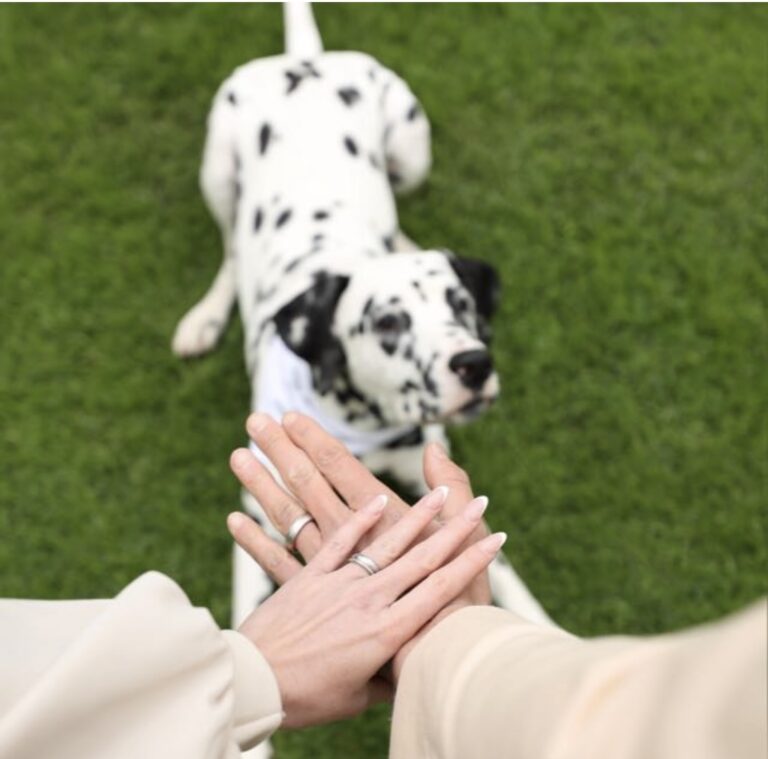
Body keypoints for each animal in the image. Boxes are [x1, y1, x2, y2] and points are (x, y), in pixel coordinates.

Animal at [172, 2, 552, 712]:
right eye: (388, 322)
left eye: (461, 304)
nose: (474, 365)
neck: (359, 423)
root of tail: (306, 59)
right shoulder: (258, 518)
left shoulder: (438, 488)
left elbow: (498, 561)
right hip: (217, 169)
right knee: (230, 248)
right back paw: (206, 315)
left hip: (411, 148)